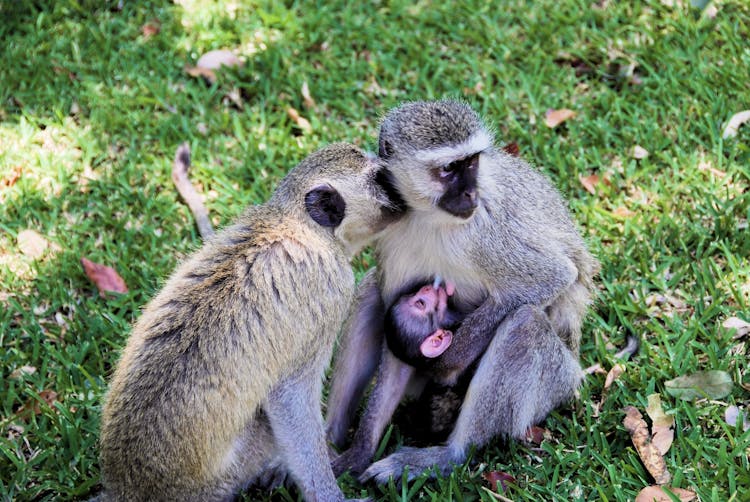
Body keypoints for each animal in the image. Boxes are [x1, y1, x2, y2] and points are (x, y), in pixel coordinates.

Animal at [100, 143, 406, 500]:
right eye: (382, 179)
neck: (298, 225)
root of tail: (130, 488)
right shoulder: (332, 292)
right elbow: (290, 399)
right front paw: (330, 493)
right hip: (229, 473)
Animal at [328, 101, 600, 482]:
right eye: (448, 169)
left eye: (471, 163)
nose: (471, 193)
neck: (431, 217)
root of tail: (577, 370)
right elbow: (396, 344)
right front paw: (360, 450)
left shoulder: (485, 233)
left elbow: (551, 277)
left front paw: (448, 362)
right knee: (371, 294)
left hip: (556, 381)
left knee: (525, 324)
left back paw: (448, 456)